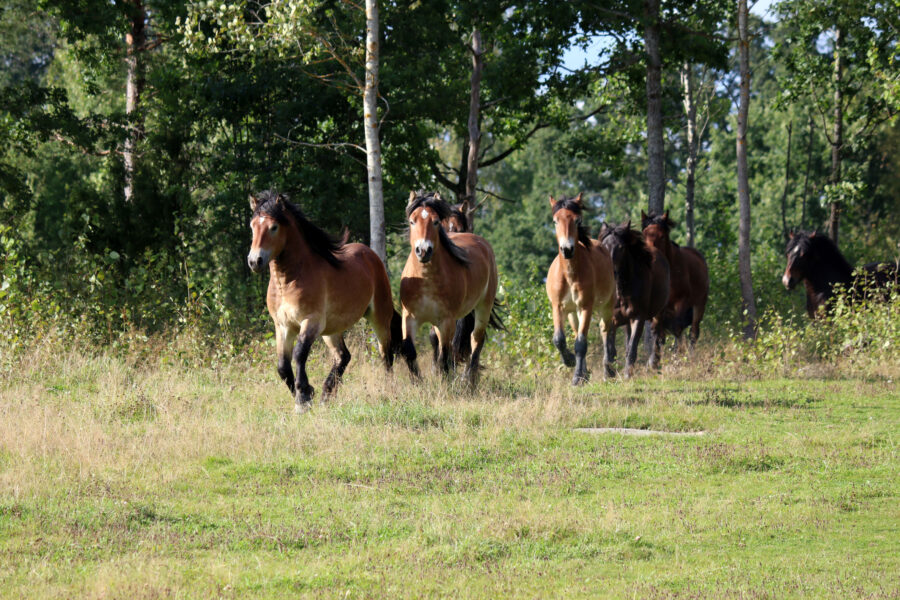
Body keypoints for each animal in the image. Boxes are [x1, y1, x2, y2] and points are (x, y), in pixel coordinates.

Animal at [248, 192, 400, 412]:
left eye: (273, 227)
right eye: (252, 226)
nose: (254, 261)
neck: (288, 281)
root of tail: (371, 255)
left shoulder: (311, 322)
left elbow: (299, 354)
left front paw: (303, 397)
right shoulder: (283, 326)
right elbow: (282, 366)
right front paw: (306, 395)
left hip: (379, 318)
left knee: (385, 355)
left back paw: (388, 390)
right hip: (332, 329)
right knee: (343, 356)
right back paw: (326, 394)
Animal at [402, 191, 502, 384]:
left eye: (435, 221)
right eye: (412, 221)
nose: (423, 250)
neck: (425, 279)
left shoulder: (447, 320)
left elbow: (447, 352)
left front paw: (445, 379)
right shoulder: (409, 317)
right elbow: (411, 349)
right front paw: (418, 382)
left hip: (483, 306)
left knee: (476, 339)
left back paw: (468, 380)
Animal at [540, 195, 620, 386]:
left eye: (577, 220)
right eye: (555, 221)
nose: (567, 249)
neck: (569, 274)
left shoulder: (586, 307)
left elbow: (581, 343)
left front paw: (577, 378)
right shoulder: (558, 307)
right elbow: (559, 339)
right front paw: (570, 362)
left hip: (605, 307)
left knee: (605, 331)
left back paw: (608, 371)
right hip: (572, 313)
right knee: (578, 332)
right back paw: (585, 372)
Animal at [596, 221, 668, 380]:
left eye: (621, 247)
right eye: (603, 247)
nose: (611, 273)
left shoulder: (638, 317)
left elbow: (632, 348)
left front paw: (627, 375)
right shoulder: (609, 318)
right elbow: (609, 350)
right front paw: (608, 374)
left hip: (659, 313)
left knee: (657, 336)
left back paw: (654, 363)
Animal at [640, 213, 712, 350]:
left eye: (662, 236)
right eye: (643, 235)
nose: (650, 258)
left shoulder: (681, 301)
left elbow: (678, 328)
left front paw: (680, 353)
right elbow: (659, 334)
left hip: (699, 304)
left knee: (693, 332)